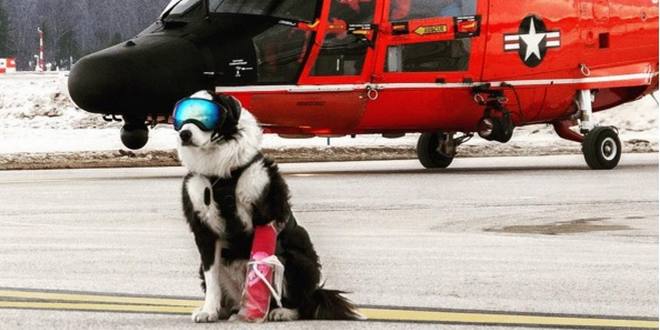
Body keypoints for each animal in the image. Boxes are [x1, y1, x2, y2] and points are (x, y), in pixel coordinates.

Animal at [175, 90, 360, 322]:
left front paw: (253, 312)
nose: (184, 134)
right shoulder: (203, 230)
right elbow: (212, 278)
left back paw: (281, 311)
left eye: (207, 117)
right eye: (181, 119)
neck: (221, 174)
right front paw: (209, 311)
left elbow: (259, 265)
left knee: (303, 301)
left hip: (297, 260)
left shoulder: (265, 214)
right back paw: (227, 309)